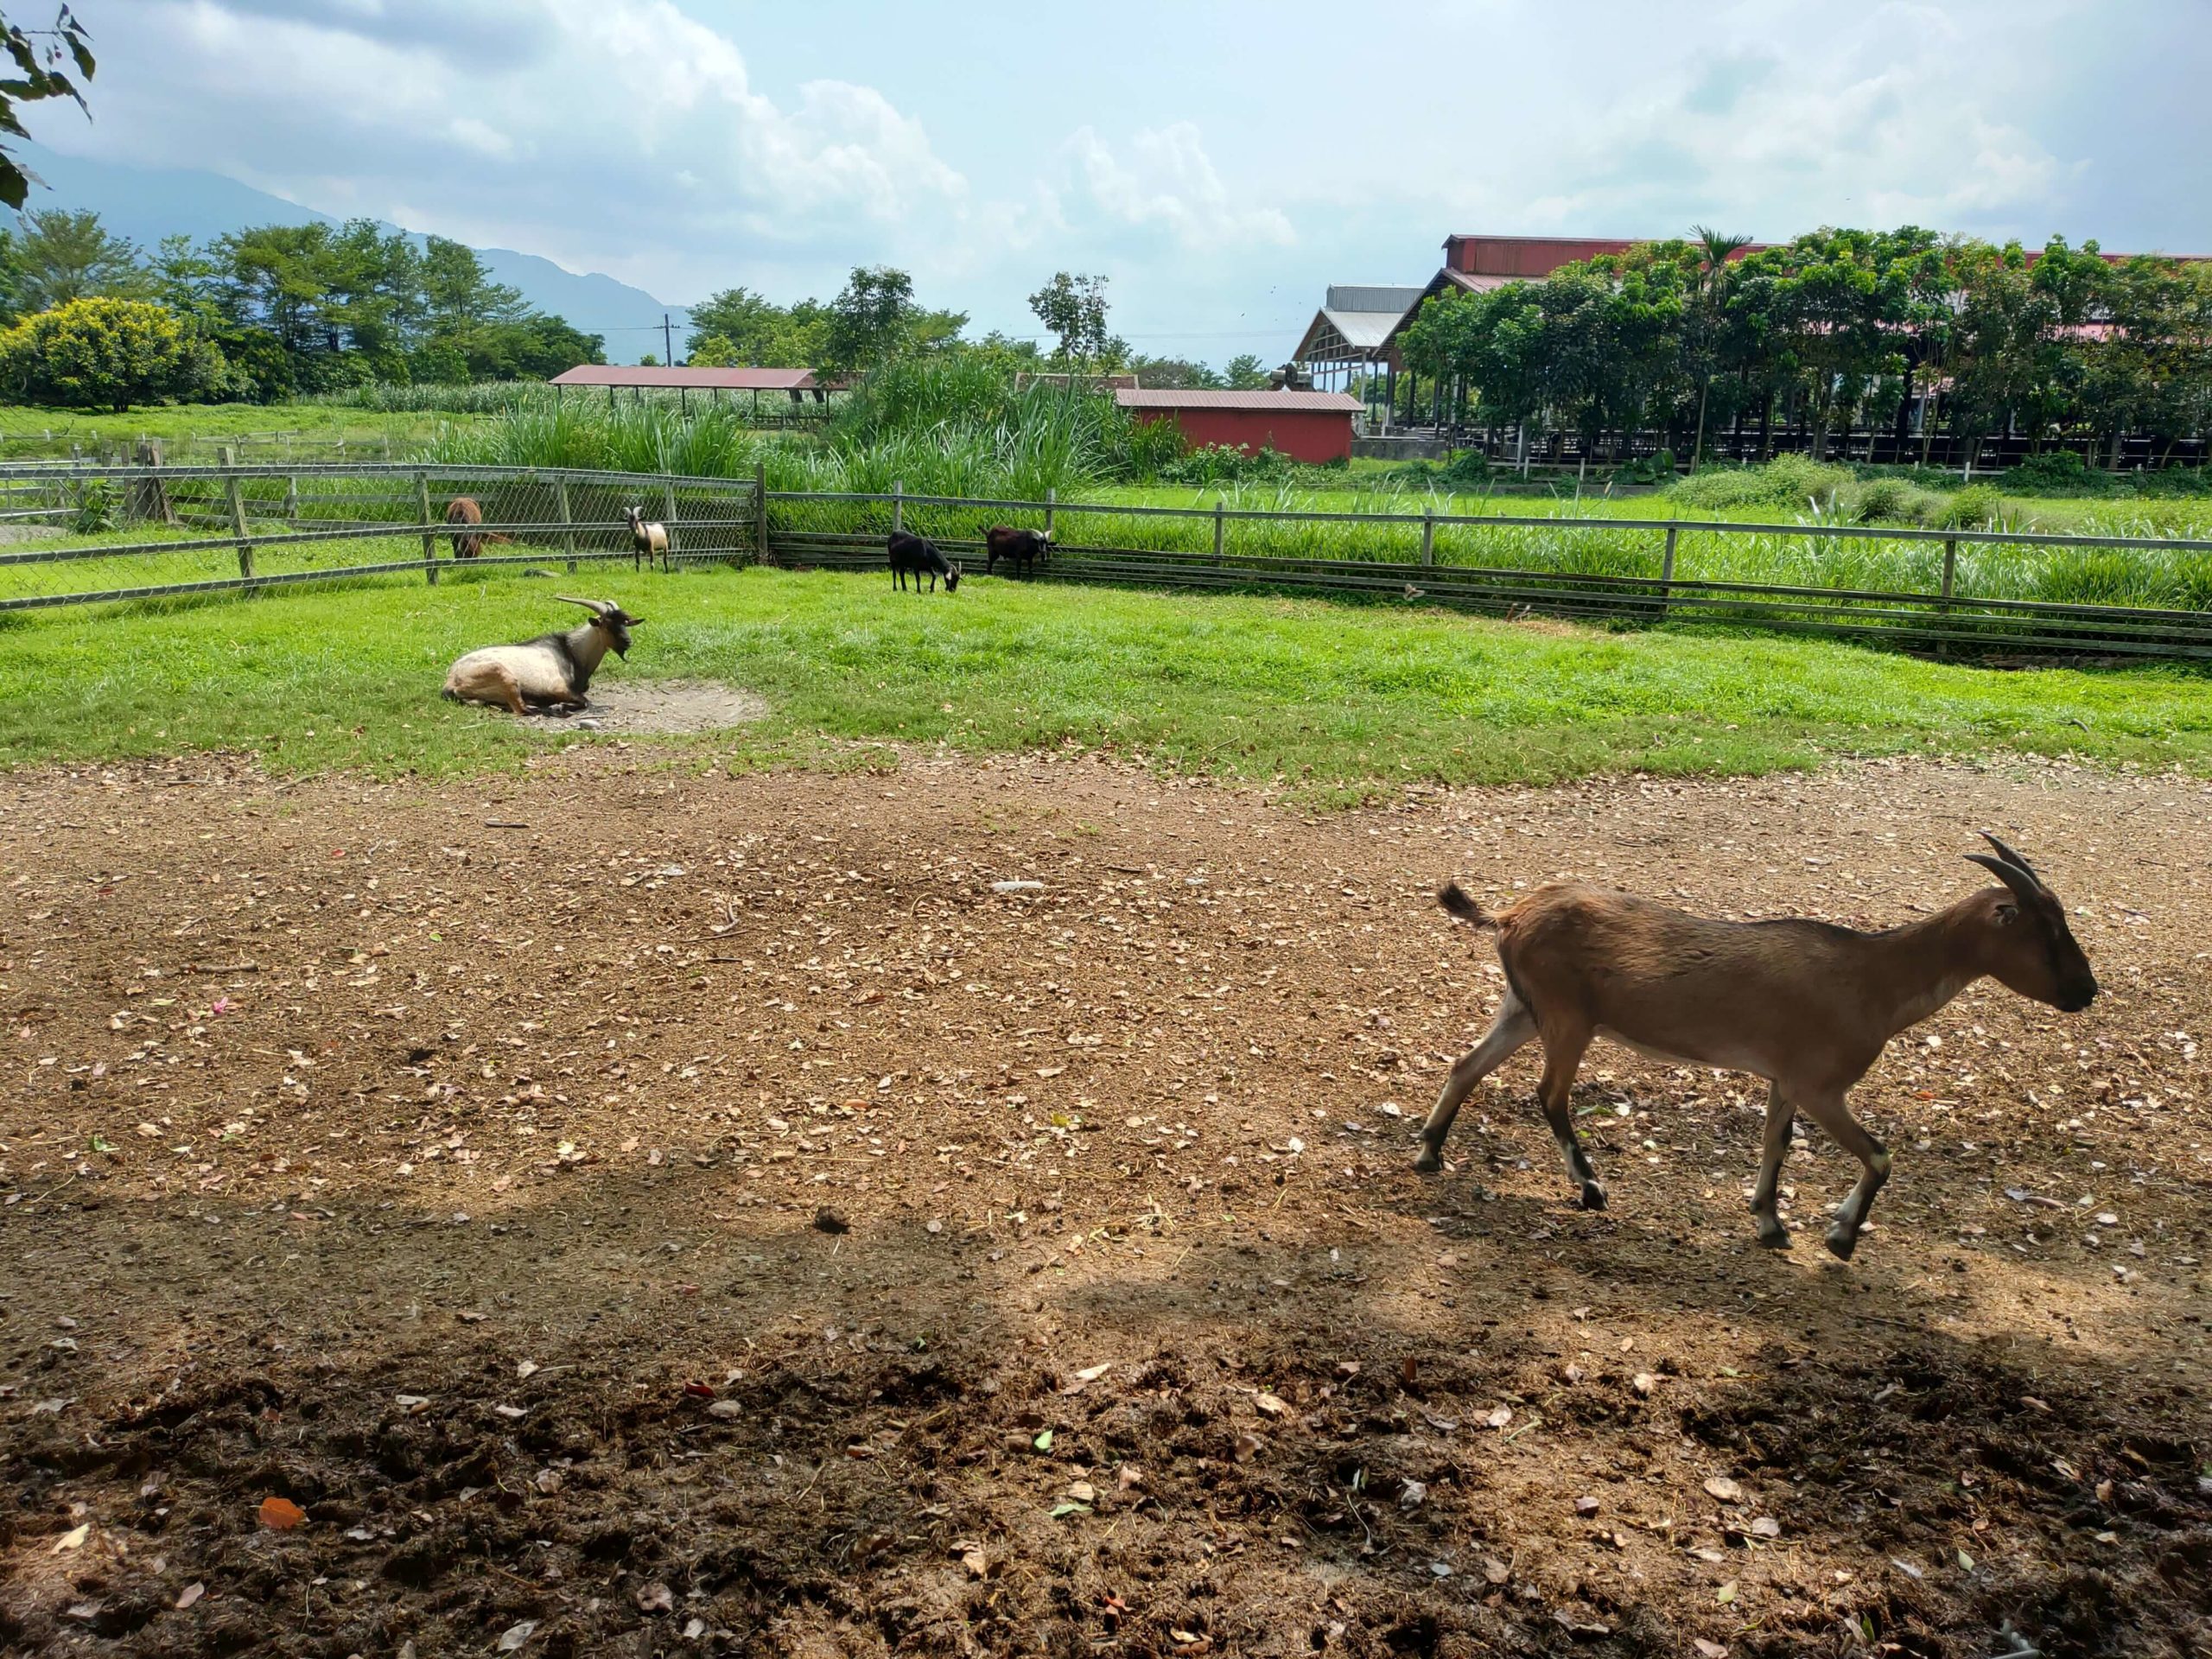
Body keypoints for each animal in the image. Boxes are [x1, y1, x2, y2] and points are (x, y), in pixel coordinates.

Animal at [433, 597, 637, 716]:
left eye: (625, 623)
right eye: (608, 624)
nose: (628, 642)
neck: (571, 651)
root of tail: (452, 679)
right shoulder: (559, 688)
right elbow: (585, 702)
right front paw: (559, 706)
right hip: (504, 675)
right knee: (521, 709)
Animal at [1415, 836, 2088, 1265]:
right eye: (2046, 932)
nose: (2087, 990)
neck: (1872, 976)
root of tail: (1509, 916)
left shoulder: (1785, 1080)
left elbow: (1776, 1143)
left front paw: (1770, 1223)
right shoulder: (1820, 1085)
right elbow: (1879, 1155)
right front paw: (1840, 1238)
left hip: (1525, 1010)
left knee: (1467, 1066)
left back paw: (1429, 1154)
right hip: (1567, 1017)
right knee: (1550, 1095)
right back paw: (1590, 1188)